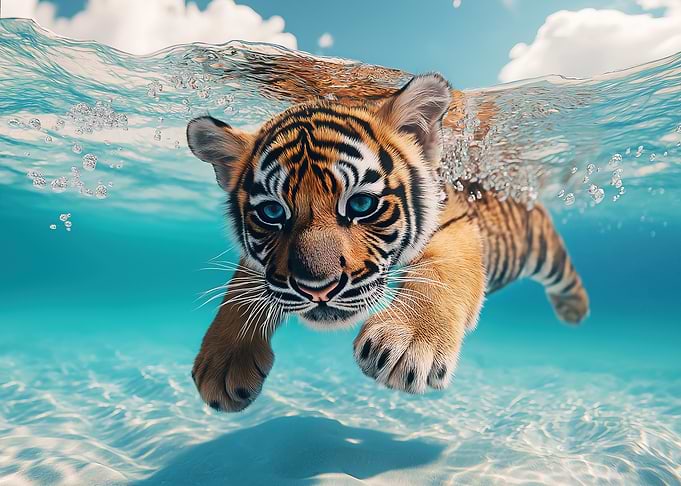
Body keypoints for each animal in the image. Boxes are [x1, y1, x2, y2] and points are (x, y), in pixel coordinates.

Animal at [186, 73, 589, 412]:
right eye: (272, 212)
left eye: (361, 204)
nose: (318, 289)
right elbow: (243, 286)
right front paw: (222, 363)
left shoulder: (453, 224)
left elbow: (441, 272)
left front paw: (409, 341)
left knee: (565, 274)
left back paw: (574, 309)